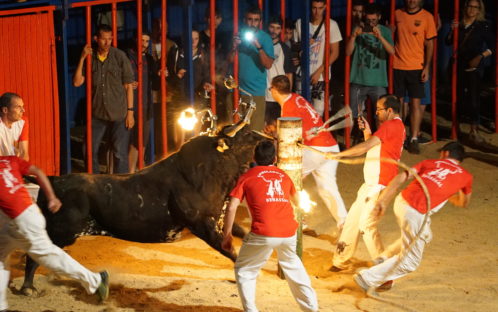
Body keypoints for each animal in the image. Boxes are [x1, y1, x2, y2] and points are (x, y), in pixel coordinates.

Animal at [21, 127, 266, 292]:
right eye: (247, 134)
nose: (265, 136)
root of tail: (53, 180)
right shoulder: (203, 224)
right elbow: (231, 251)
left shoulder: (219, 221)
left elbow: (241, 235)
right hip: (60, 232)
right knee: (34, 255)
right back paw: (27, 288)